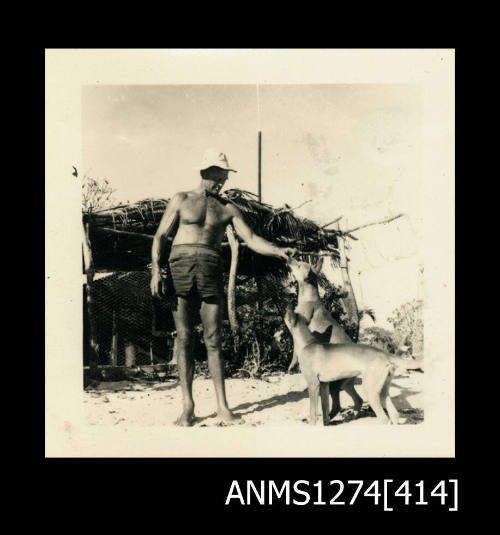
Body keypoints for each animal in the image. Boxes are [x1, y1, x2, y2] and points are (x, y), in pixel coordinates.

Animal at [284, 306, 416, 428]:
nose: (287, 307)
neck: (308, 343)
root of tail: (384, 353)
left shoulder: (313, 384)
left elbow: (313, 412)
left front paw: (312, 424)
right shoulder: (324, 384)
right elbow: (325, 408)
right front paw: (325, 423)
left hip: (369, 390)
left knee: (383, 418)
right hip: (381, 391)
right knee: (394, 414)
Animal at [286, 258, 364, 420]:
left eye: (298, 265)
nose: (288, 257)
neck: (309, 298)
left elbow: (295, 351)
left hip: (334, 384)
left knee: (339, 403)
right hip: (341, 384)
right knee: (353, 400)